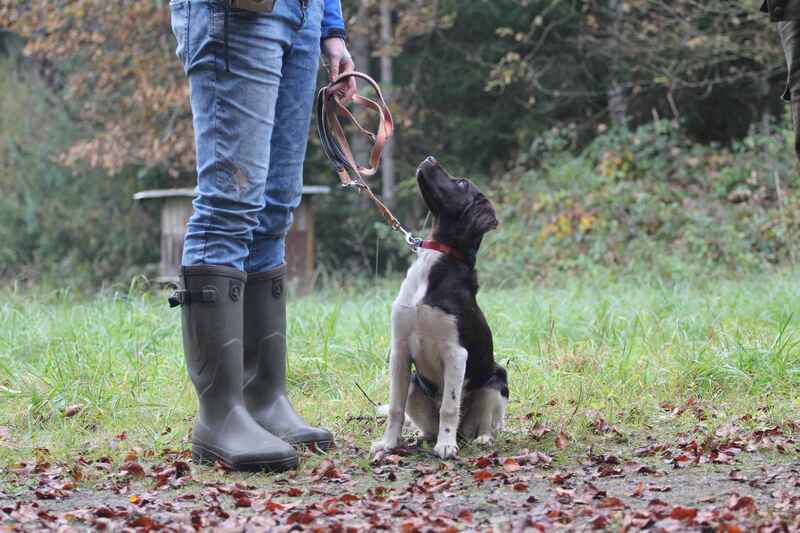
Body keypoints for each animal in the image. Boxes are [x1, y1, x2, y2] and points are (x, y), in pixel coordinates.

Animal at [372, 156, 510, 460]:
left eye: (461, 183)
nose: (429, 158)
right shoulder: (399, 349)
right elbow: (395, 408)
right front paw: (388, 444)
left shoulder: (456, 352)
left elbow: (449, 406)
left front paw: (446, 446)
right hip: (414, 384)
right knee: (425, 424)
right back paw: (424, 438)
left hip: (496, 381)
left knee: (487, 423)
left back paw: (479, 439)